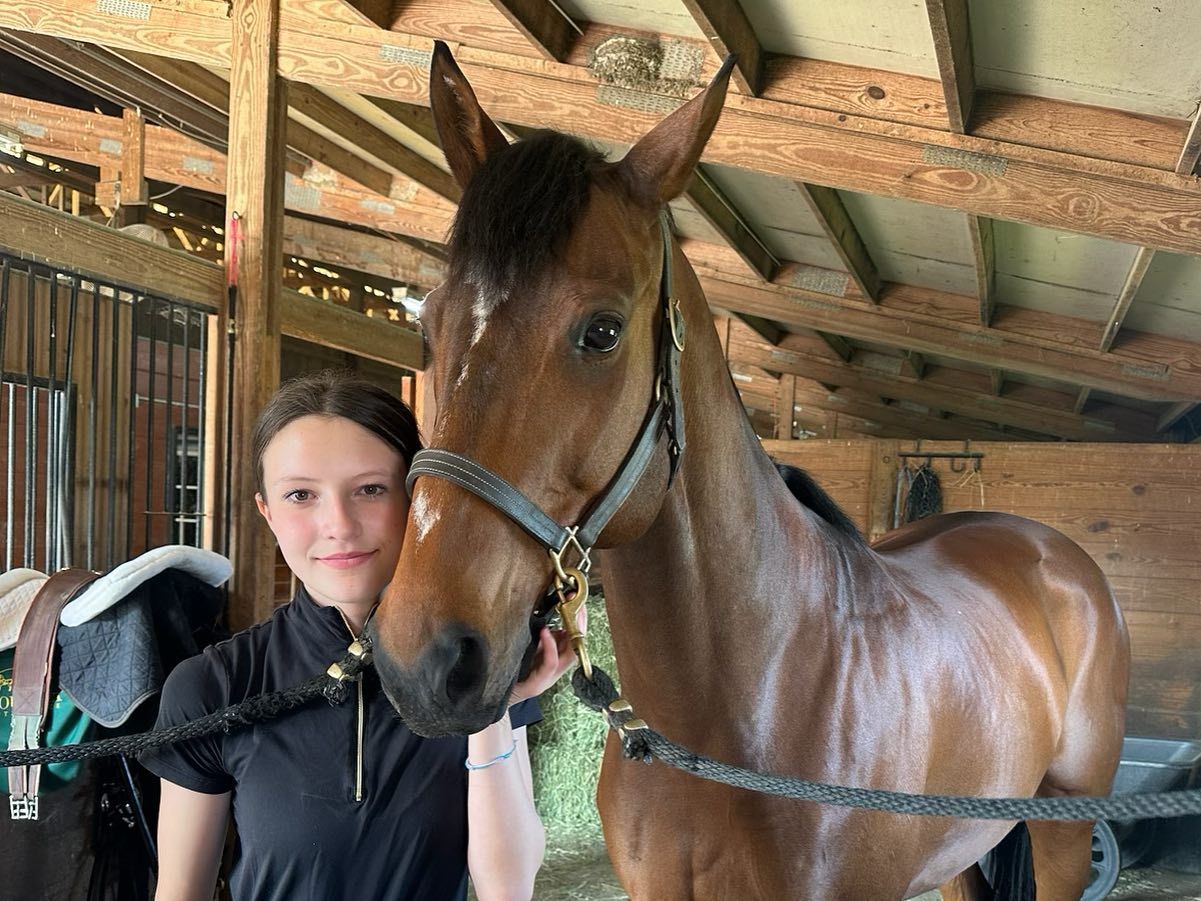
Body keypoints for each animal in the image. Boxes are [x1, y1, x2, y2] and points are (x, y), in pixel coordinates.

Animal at [369, 42, 1131, 900]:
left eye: (601, 331)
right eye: (428, 325)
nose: (422, 659)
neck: (743, 711)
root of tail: (1053, 553)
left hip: (1060, 834)